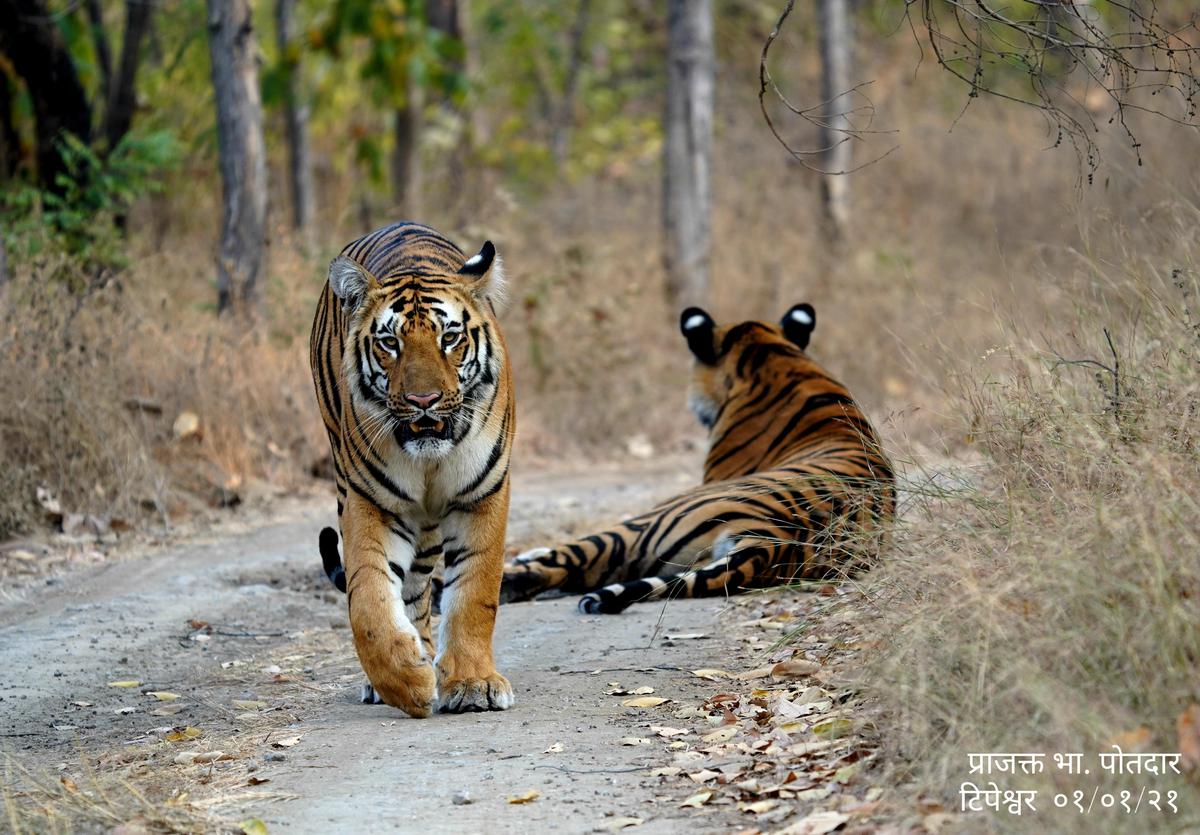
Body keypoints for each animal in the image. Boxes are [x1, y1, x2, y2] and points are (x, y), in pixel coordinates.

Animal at [312, 223, 513, 719]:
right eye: (390, 343)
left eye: (450, 338)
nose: (424, 401)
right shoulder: (369, 501)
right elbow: (367, 599)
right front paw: (404, 682)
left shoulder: (482, 495)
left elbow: (475, 593)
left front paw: (474, 684)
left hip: (427, 533)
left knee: (420, 590)